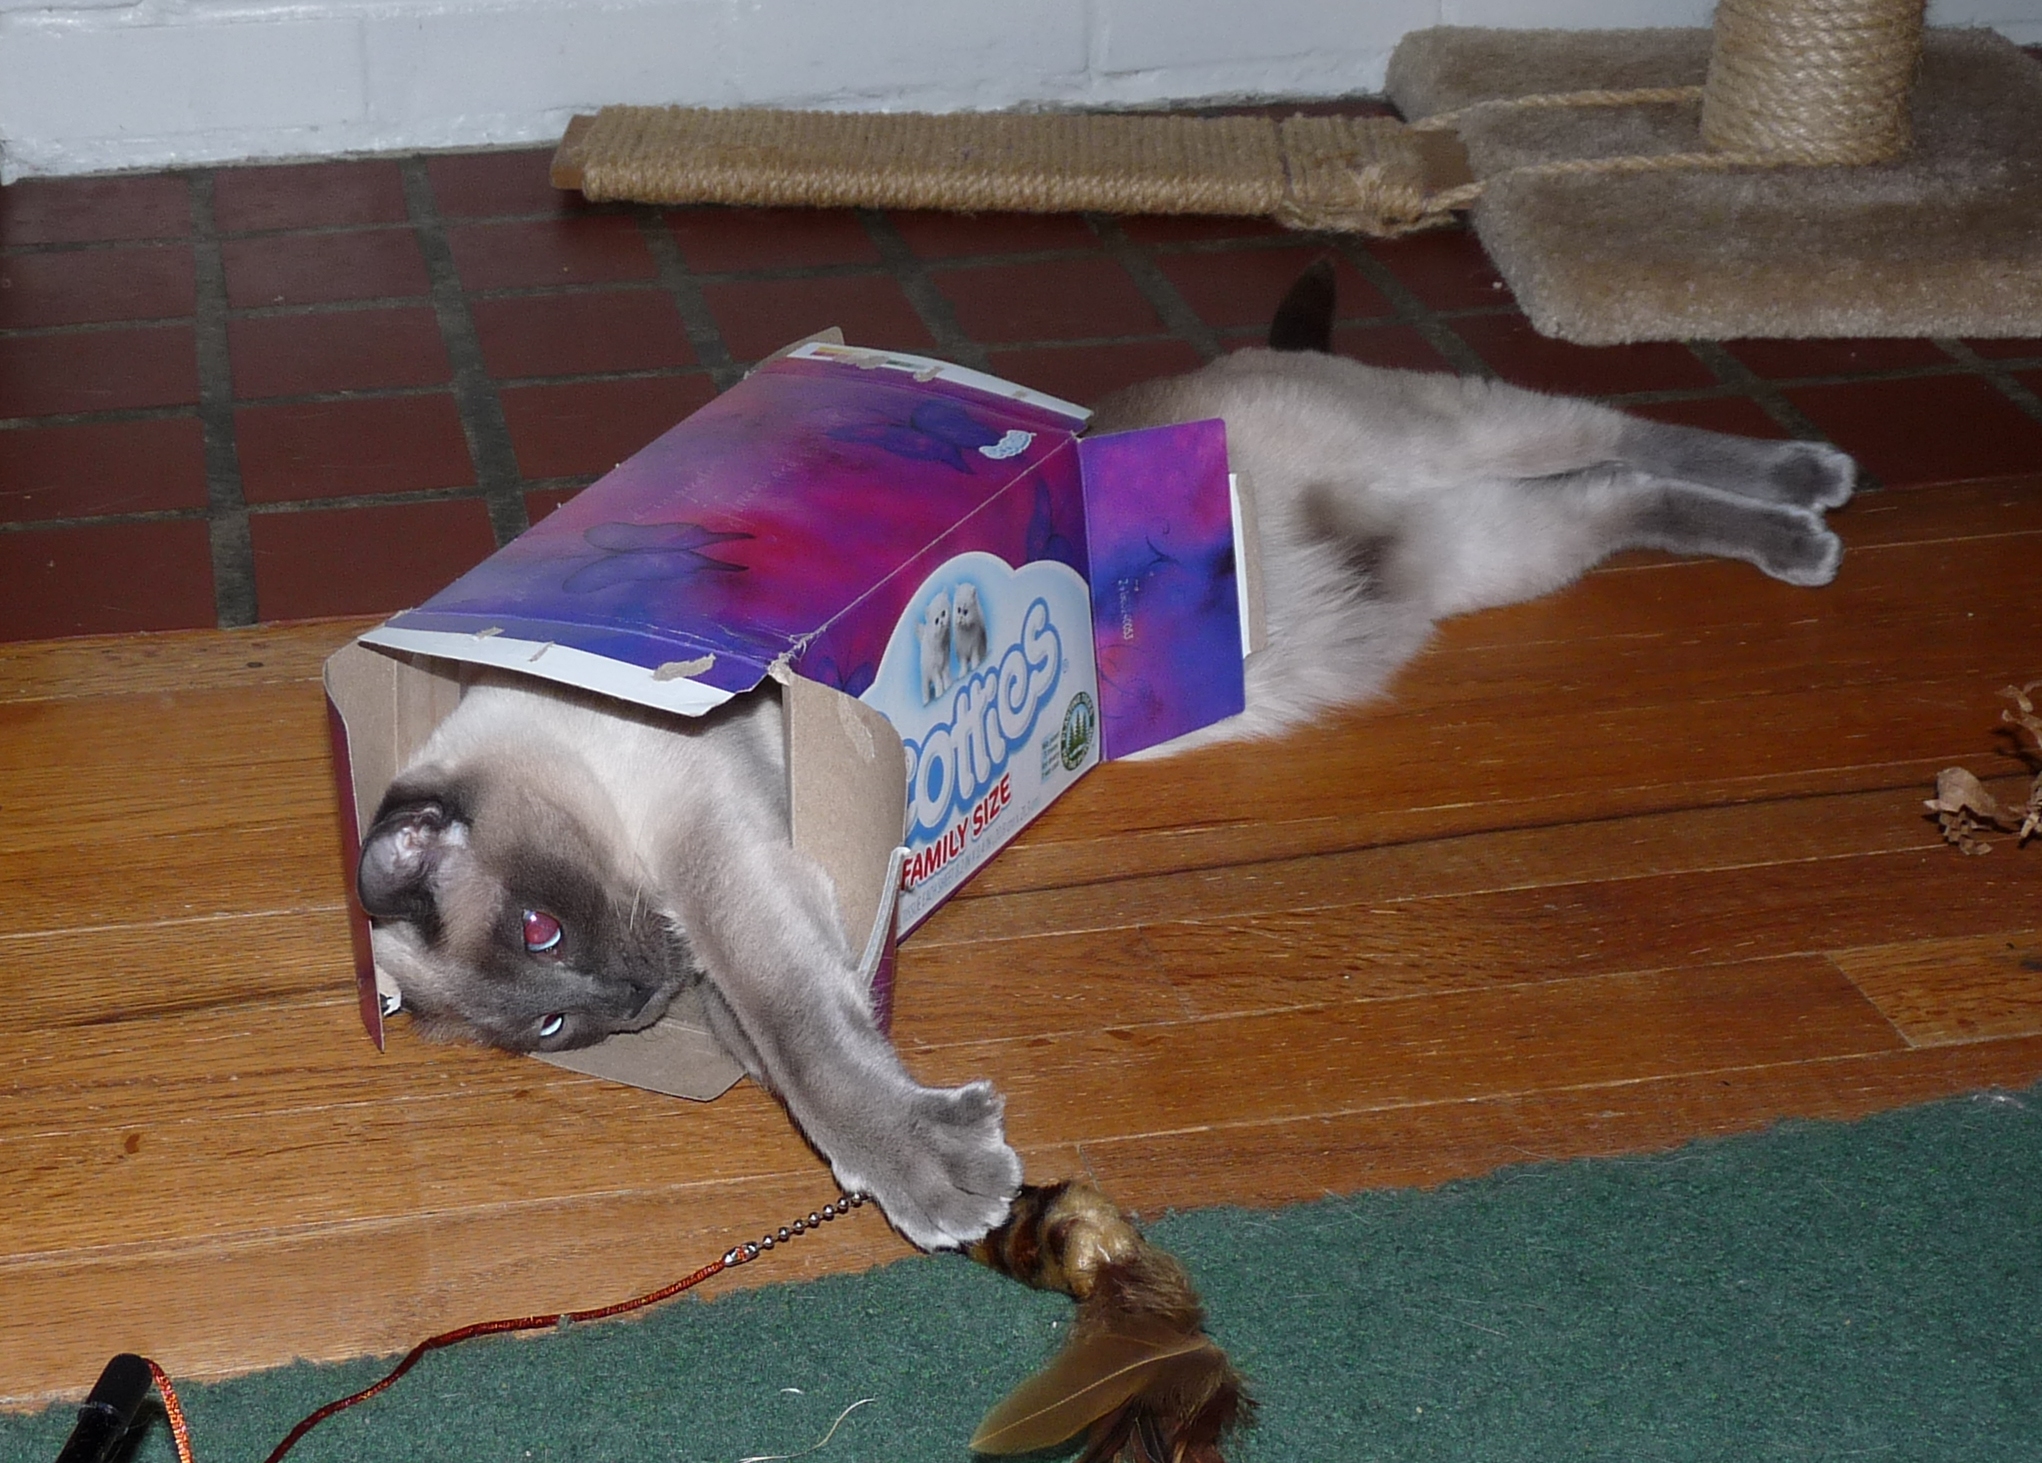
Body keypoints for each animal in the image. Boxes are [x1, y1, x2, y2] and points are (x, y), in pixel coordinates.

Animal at [359, 260, 1862, 1242]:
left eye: (543, 932)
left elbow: (803, 1041)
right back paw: (1796, 527)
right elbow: (784, 1038)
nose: (621, 998)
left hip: (1469, 434)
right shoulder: (739, 909)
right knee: (1616, 491)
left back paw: (1812, 483)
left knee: (1617, 432)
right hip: (1494, 545)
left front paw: (936, 1181)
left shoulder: (725, 859)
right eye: (555, 1023)